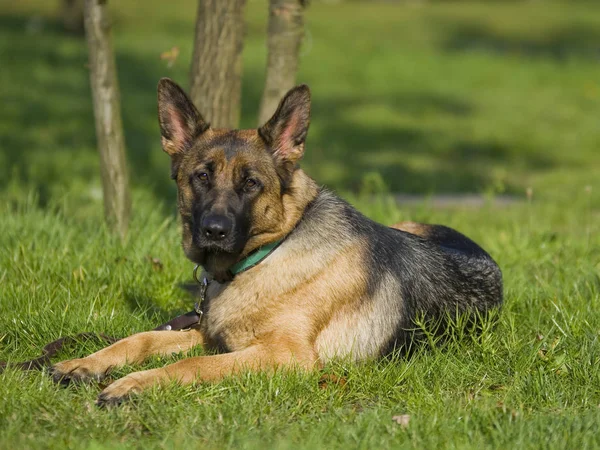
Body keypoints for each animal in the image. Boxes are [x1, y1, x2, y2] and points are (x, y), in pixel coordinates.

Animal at [50, 79, 502, 406]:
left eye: (251, 184)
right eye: (201, 177)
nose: (214, 231)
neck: (269, 253)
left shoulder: (282, 356)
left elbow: (191, 365)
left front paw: (133, 384)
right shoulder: (213, 335)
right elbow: (141, 338)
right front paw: (84, 363)